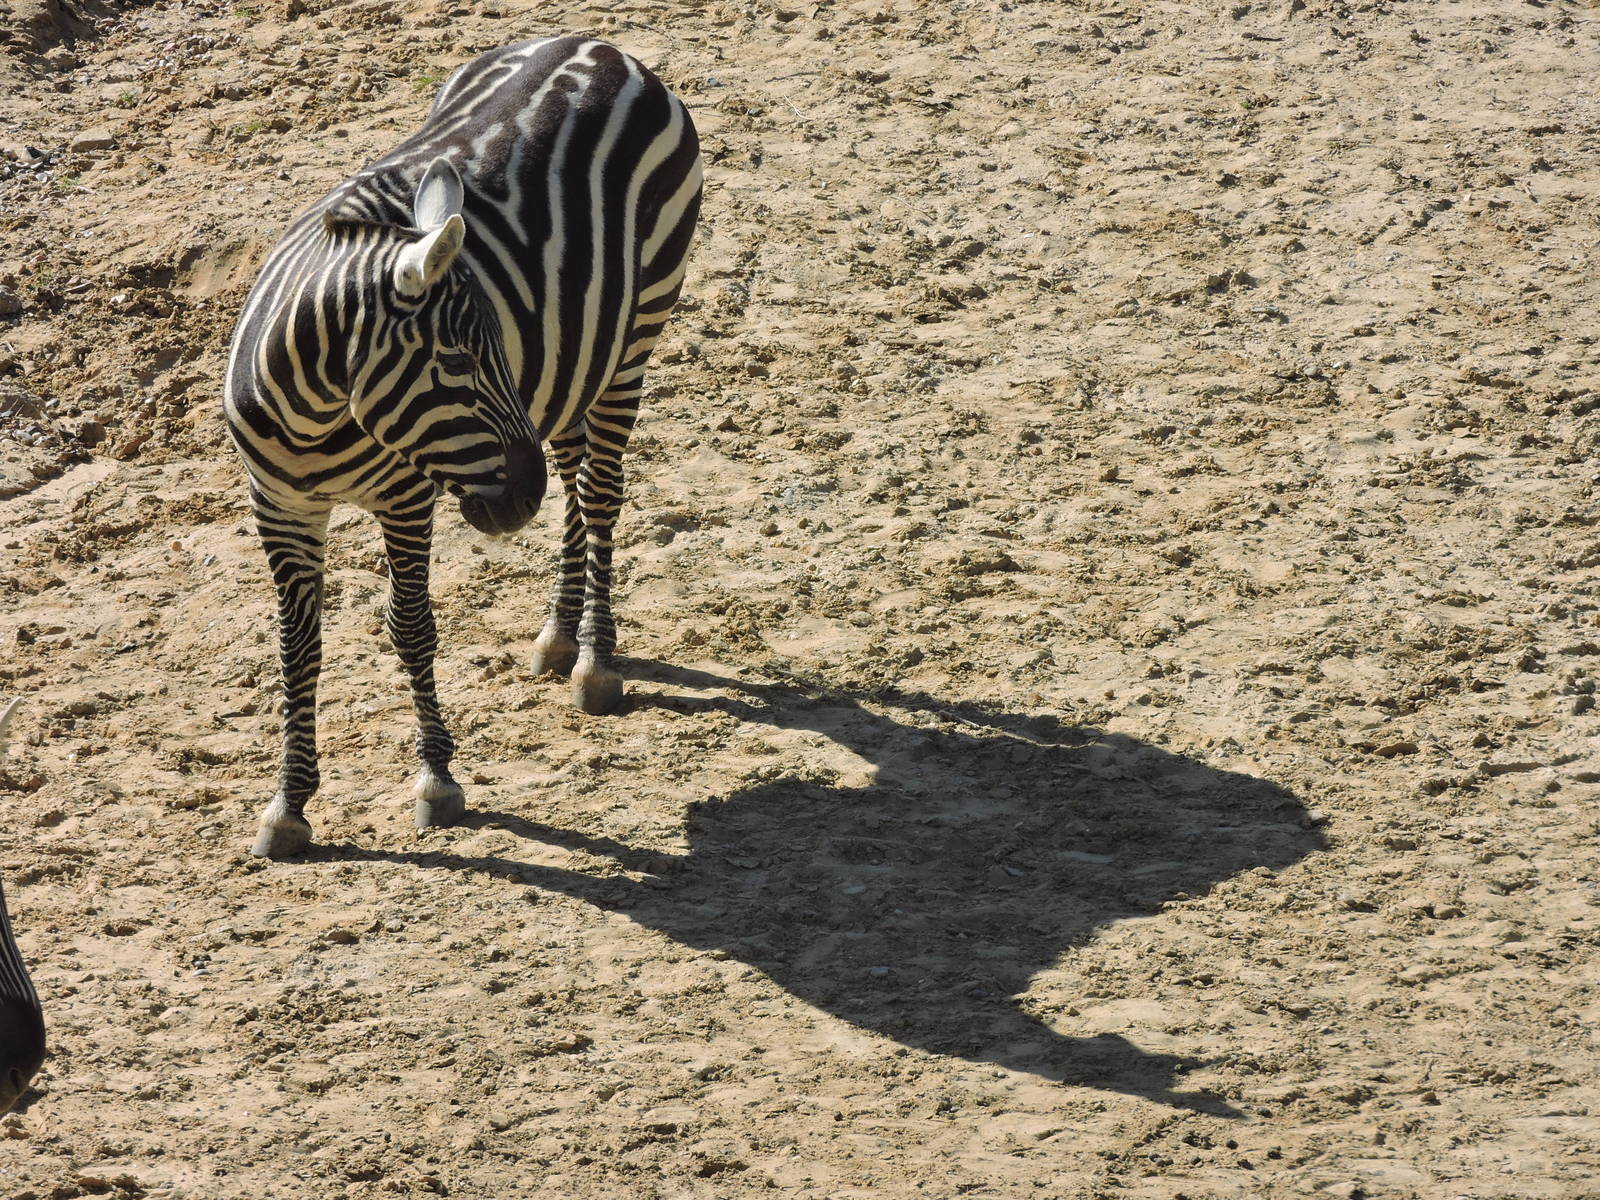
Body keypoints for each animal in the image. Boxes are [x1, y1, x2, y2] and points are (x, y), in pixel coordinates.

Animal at [223, 37, 702, 858]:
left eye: (490, 351)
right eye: (453, 360)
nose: (520, 494)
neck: (316, 410)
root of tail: (599, 46)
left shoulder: (405, 497)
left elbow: (411, 628)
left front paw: (438, 780)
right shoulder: (279, 504)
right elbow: (296, 648)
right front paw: (287, 804)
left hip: (637, 334)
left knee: (600, 493)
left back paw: (594, 660)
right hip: (574, 359)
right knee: (576, 483)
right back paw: (557, 634)